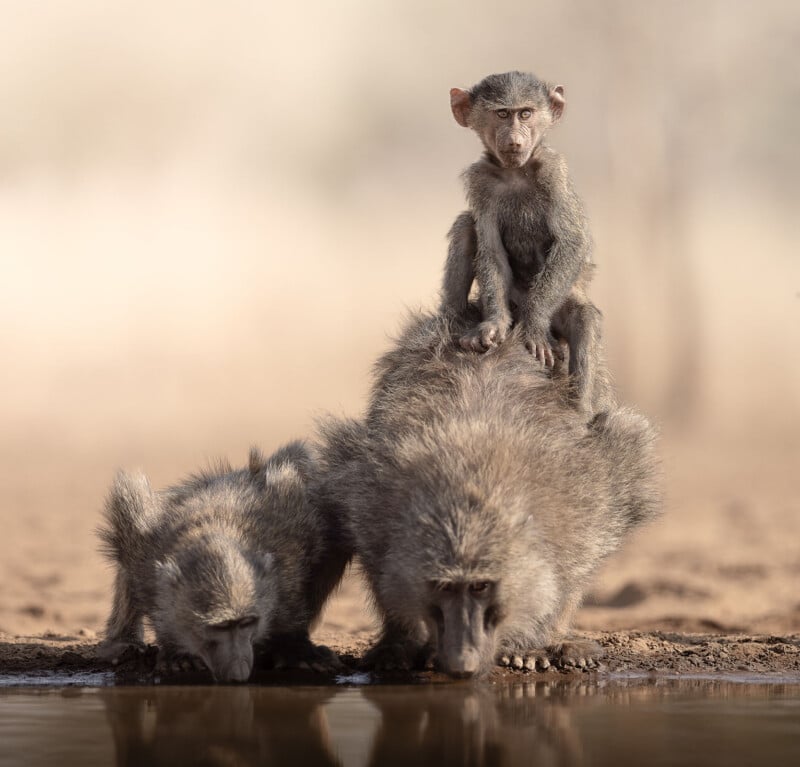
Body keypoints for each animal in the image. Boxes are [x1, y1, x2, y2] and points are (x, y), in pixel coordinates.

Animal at [96, 442, 350, 682]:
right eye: (219, 627)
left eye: (247, 623)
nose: (238, 673)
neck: (211, 529)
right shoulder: (139, 541)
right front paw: (175, 652)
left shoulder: (293, 529)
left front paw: (296, 650)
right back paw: (122, 643)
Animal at [318, 310, 660, 678]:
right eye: (444, 587)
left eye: (480, 587)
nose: (462, 661)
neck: (472, 481)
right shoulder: (369, 501)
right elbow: (379, 569)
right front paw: (400, 644)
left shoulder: (585, 499)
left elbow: (572, 567)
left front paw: (530, 644)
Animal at [441, 71, 613, 415]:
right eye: (502, 114)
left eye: (525, 114)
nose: (514, 141)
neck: (515, 171)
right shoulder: (481, 180)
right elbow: (490, 249)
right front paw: (492, 325)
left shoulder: (553, 170)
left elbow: (572, 242)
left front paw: (533, 328)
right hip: (509, 300)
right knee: (467, 225)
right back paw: (452, 316)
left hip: (559, 306)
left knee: (584, 321)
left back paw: (582, 411)